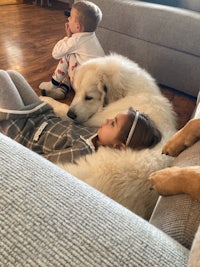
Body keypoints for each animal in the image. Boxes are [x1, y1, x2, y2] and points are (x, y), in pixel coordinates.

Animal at [40, 53, 177, 221]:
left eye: (89, 97)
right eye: (76, 92)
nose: (71, 114)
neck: (132, 92)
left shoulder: (91, 120)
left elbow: (62, 108)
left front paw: (47, 100)